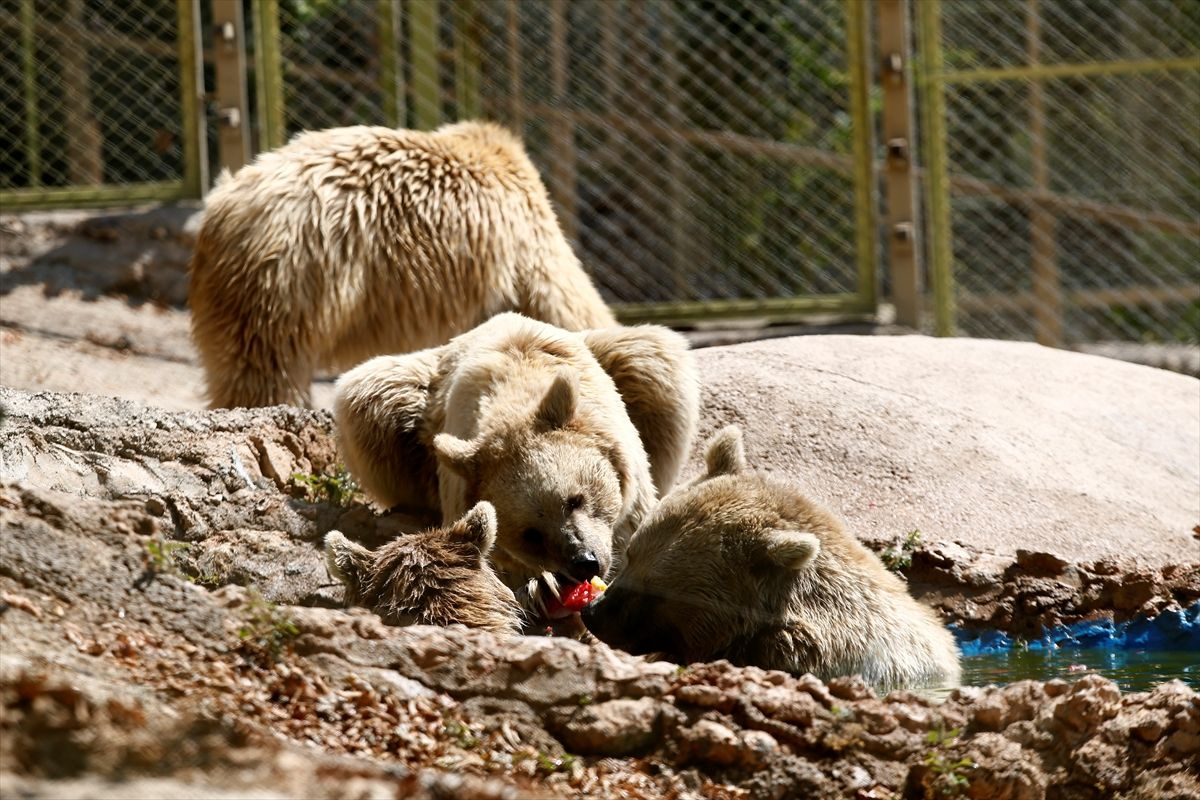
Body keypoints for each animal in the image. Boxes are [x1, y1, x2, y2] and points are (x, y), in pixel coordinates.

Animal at [333, 311, 700, 618]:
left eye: (575, 499)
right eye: (531, 534)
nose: (585, 562)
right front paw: (542, 586)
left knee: (650, 359)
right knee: (368, 399)